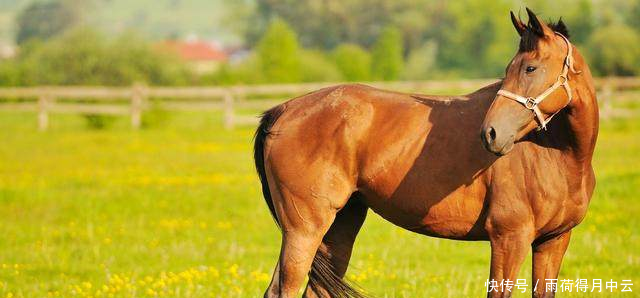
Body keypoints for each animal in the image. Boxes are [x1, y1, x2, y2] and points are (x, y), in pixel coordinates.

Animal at [255, 8, 600, 296]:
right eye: (510, 68)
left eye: (530, 67)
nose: (491, 133)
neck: (557, 154)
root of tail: (282, 111)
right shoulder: (509, 238)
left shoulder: (553, 241)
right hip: (304, 230)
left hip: (340, 225)